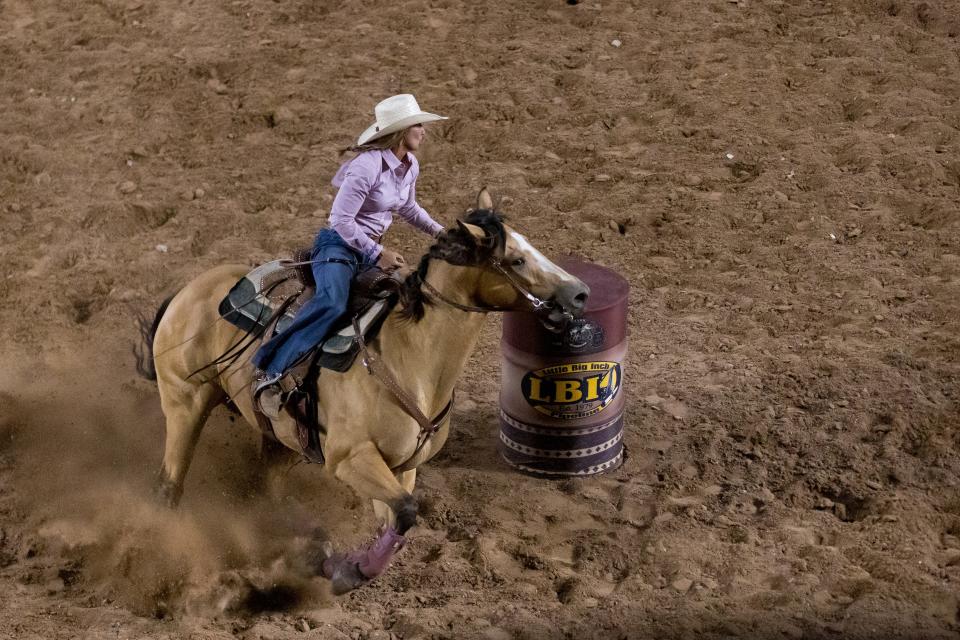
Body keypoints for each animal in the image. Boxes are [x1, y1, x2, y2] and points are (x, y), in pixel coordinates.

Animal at [141, 191, 592, 596]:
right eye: (516, 259)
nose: (580, 293)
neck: (412, 361)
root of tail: (189, 289)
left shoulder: (401, 468)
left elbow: (396, 522)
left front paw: (342, 566)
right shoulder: (349, 458)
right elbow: (406, 511)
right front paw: (350, 571)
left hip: (280, 439)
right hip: (185, 402)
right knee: (169, 485)